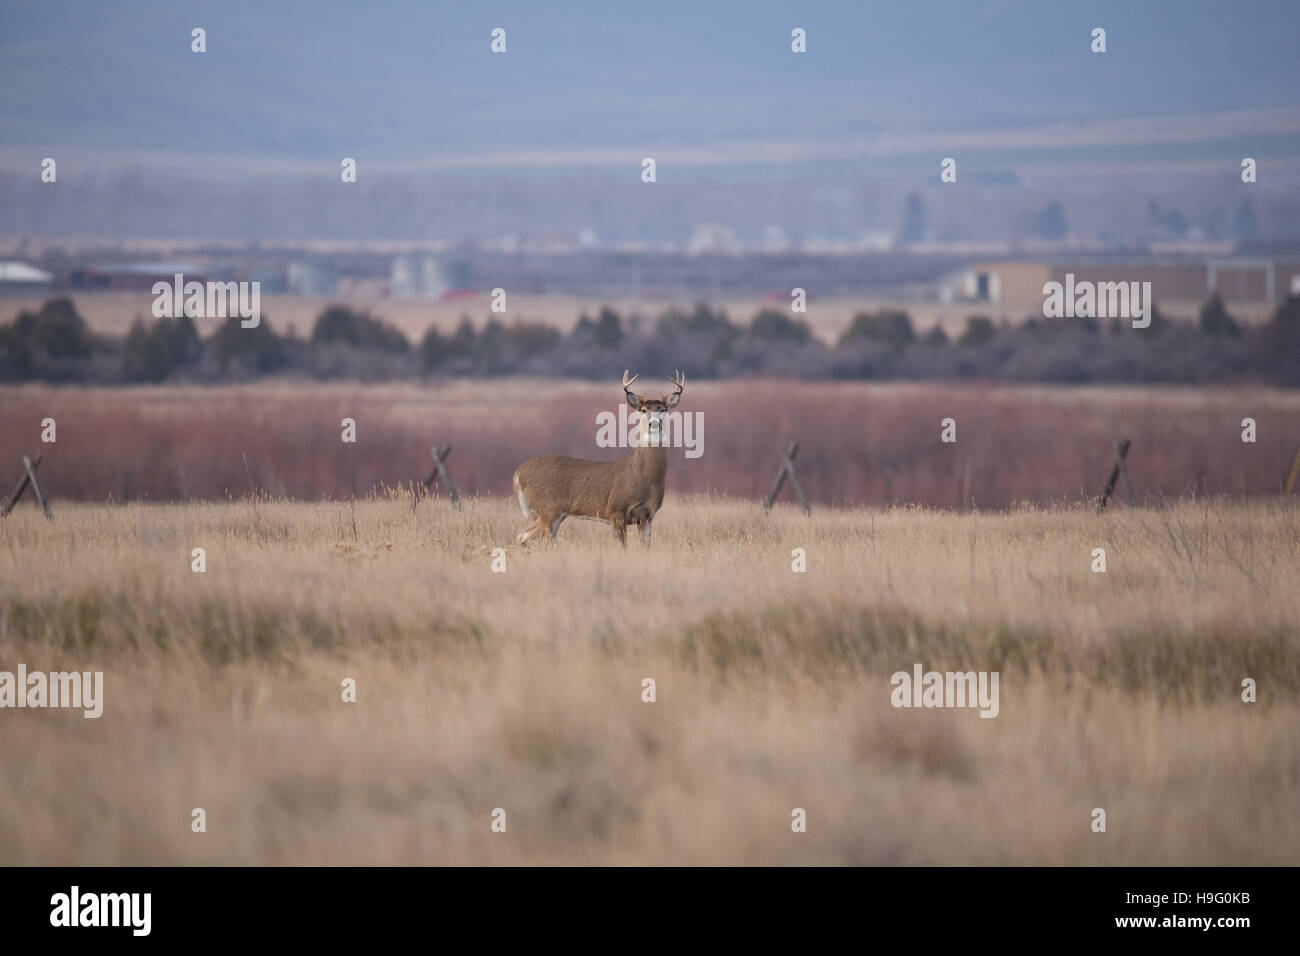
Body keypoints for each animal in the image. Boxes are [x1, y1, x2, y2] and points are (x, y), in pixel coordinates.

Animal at [512, 369, 686, 548]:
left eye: (663, 409)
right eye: (643, 410)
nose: (654, 423)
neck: (642, 475)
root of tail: (518, 473)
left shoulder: (648, 515)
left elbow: (646, 548)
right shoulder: (615, 510)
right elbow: (623, 548)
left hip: (553, 513)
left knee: (530, 537)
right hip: (548, 508)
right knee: (527, 537)